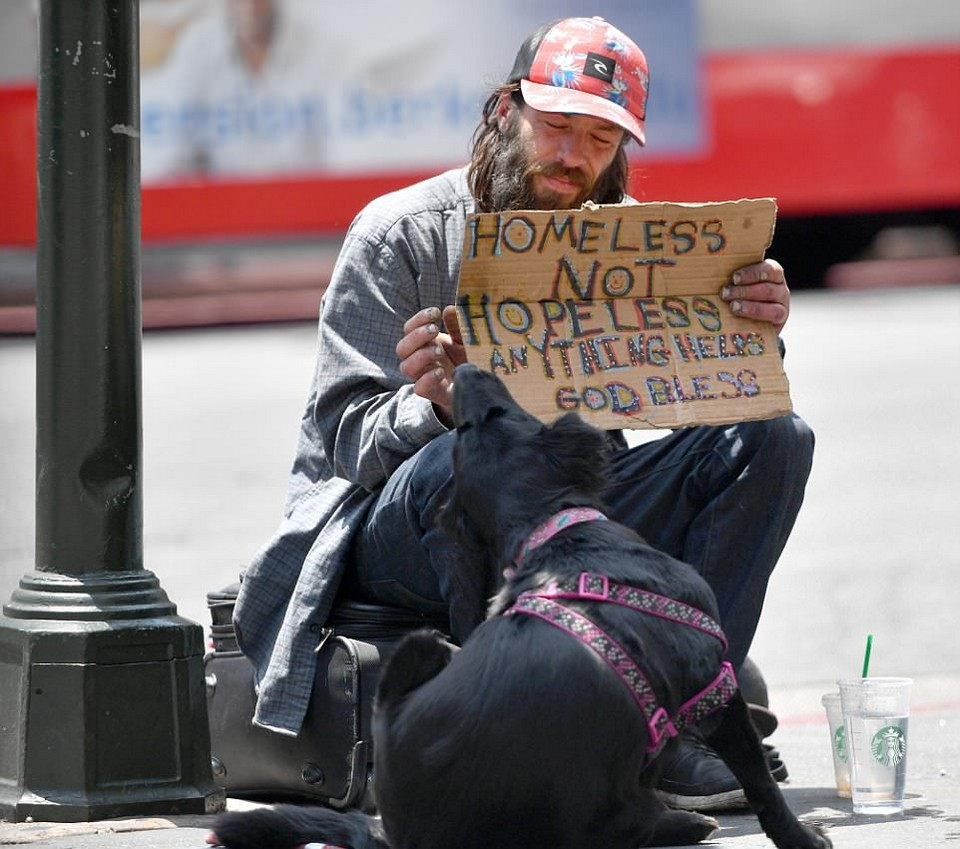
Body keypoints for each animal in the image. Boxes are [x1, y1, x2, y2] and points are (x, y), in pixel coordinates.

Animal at [212, 364, 832, 848]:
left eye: (473, 425)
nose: (464, 369)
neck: (550, 531)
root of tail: (404, 832)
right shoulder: (715, 685)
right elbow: (759, 782)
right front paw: (799, 835)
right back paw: (684, 824)